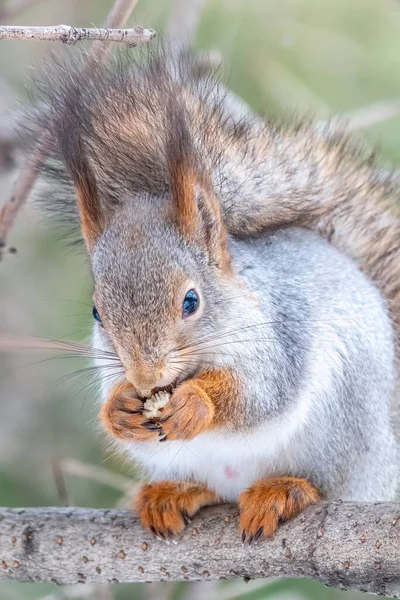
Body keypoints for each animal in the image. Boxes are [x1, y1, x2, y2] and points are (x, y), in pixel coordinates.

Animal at [26, 49, 398, 540]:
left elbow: (258, 394)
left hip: (340, 431)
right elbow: (111, 395)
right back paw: (172, 493)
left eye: (191, 301)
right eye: (96, 312)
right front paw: (119, 408)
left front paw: (195, 404)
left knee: (324, 483)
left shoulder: (281, 337)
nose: (145, 378)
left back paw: (284, 490)